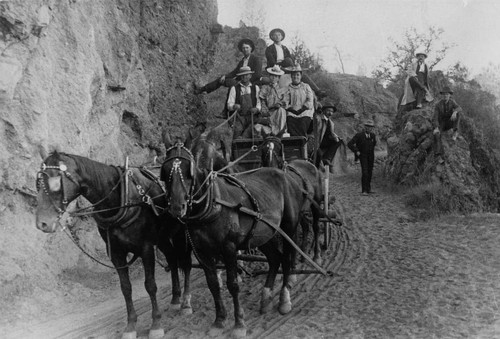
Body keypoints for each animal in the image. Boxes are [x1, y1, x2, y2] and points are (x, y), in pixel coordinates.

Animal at [34, 151, 191, 339]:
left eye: (56, 182)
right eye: (38, 183)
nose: (42, 223)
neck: (122, 199)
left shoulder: (146, 249)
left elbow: (150, 285)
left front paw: (156, 324)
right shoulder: (116, 253)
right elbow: (126, 288)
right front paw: (130, 326)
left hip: (181, 231)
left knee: (186, 262)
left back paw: (186, 302)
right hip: (162, 239)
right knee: (172, 259)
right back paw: (175, 299)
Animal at [162, 139, 306, 338]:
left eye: (187, 170)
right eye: (166, 170)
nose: (177, 207)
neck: (211, 204)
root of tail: (284, 174)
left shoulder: (229, 248)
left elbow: (233, 285)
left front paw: (239, 324)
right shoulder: (202, 252)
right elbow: (213, 284)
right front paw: (219, 320)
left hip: (288, 228)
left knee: (287, 258)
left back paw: (284, 298)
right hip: (264, 233)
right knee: (275, 258)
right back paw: (266, 298)